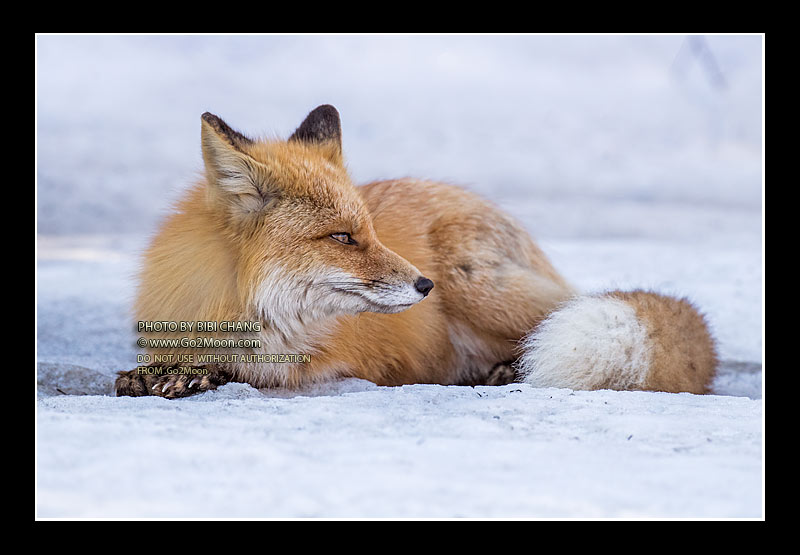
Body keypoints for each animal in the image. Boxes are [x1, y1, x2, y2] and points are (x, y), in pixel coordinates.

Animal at [115, 105, 718, 399]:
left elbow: (256, 370)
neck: (235, 307)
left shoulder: (326, 362)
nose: (425, 285)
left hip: (477, 283)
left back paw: (509, 370)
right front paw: (158, 373)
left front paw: (201, 373)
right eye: (343, 238)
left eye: (371, 232)